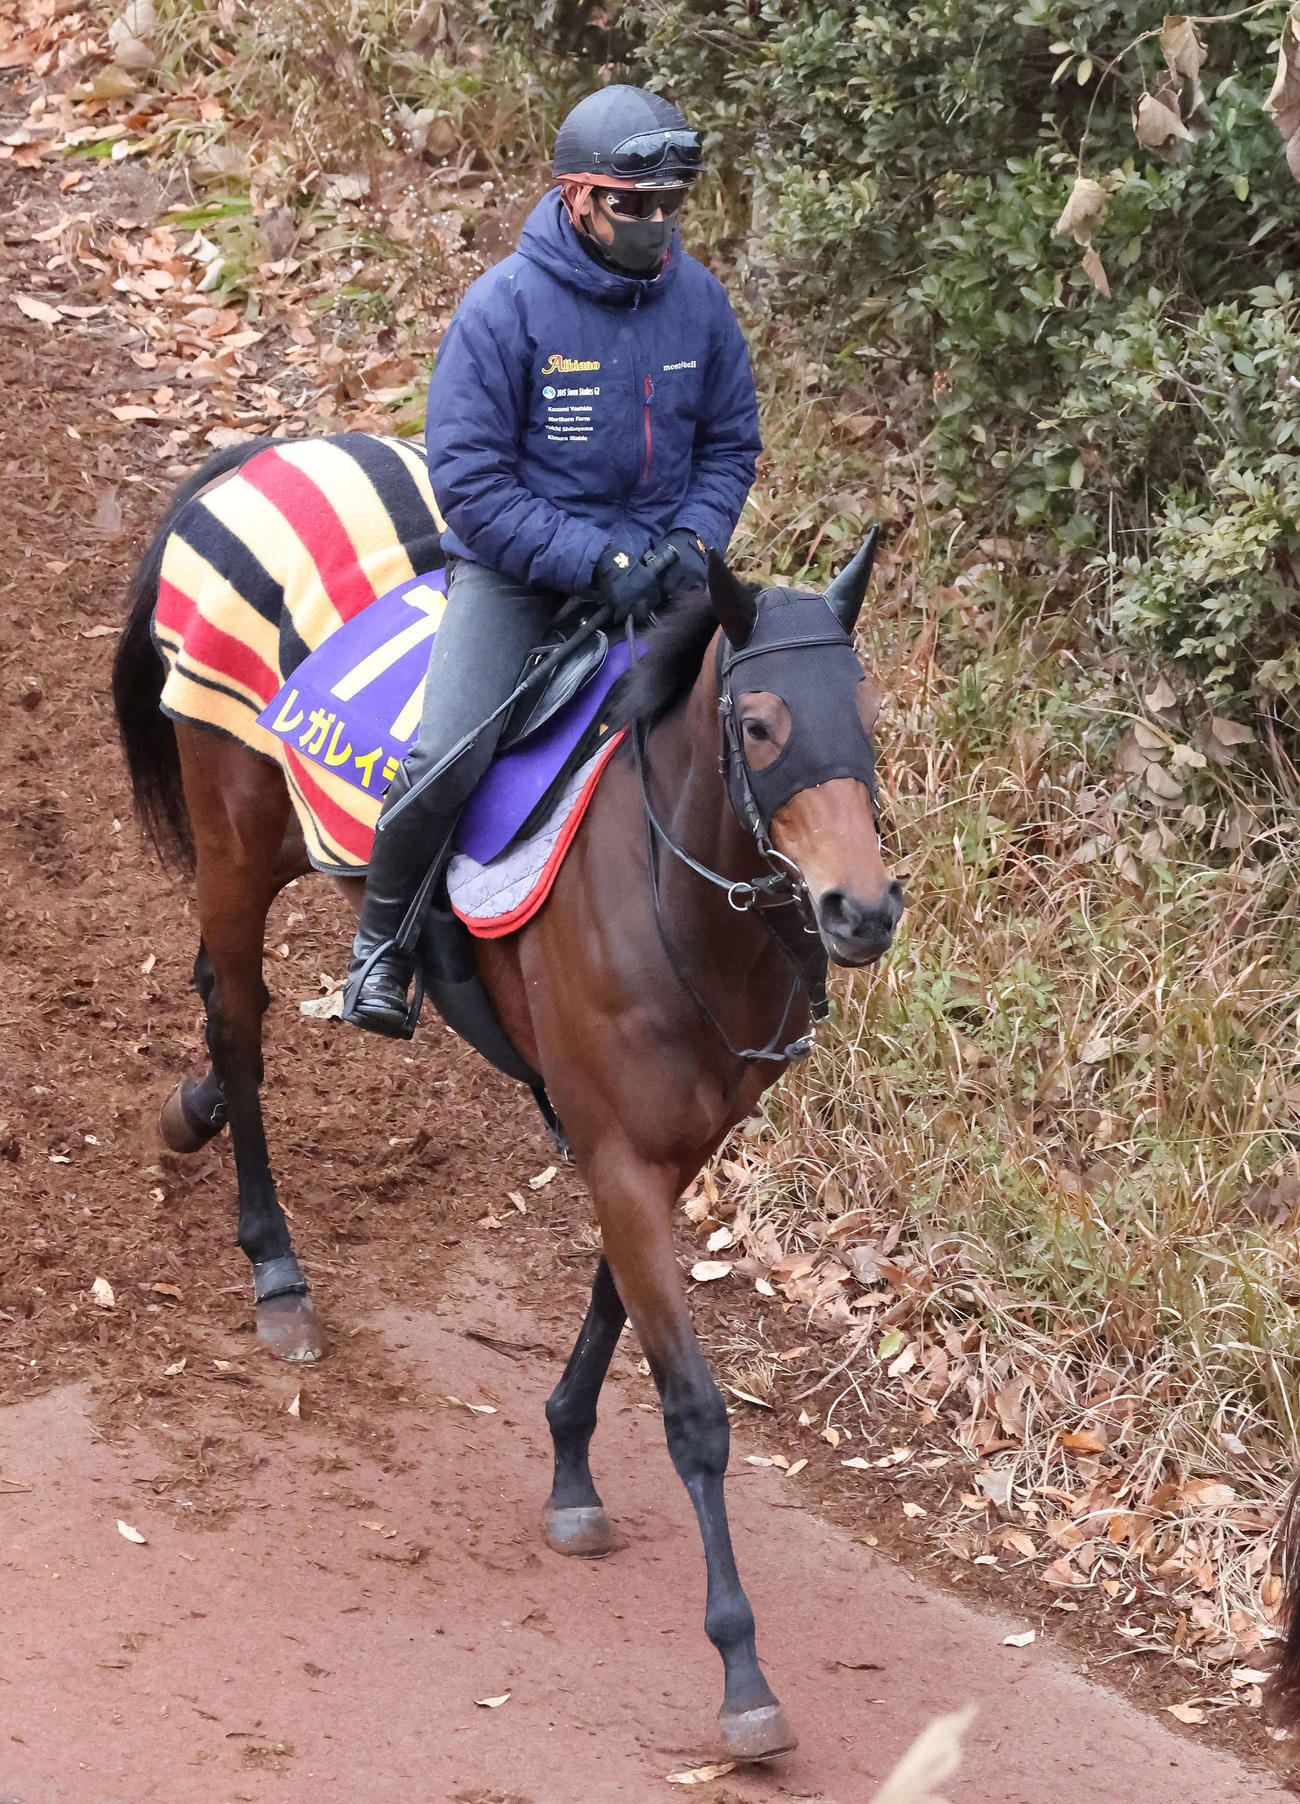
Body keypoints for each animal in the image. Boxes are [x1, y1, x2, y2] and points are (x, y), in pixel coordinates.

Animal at [112, 435, 903, 1759]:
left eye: (870, 718)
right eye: (758, 721)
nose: (862, 909)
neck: (667, 896)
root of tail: (270, 455)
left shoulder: (668, 1143)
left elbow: (608, 1301)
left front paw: (570, 1467)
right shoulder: (618, 1146)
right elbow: (692, 1407)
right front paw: (741, 1670)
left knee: (220, 1000)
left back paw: (193, 1109)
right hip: (236, 828)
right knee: (241, 1015)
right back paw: (275, 1264)